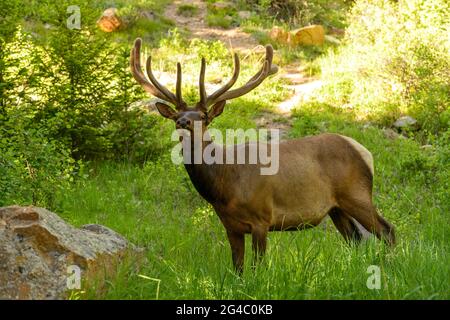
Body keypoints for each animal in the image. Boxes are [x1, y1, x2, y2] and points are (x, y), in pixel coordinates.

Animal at [129, 37, 394, 272]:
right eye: (175, 116)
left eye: (203, 117)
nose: (183, 122)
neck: (223, 187)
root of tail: (365, 153)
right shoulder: (231, 226)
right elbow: (237, 269)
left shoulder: (262, 218)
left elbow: (257, 268)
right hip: (336, 208)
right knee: (356, 239)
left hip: (357, 194)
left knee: (387, 230)